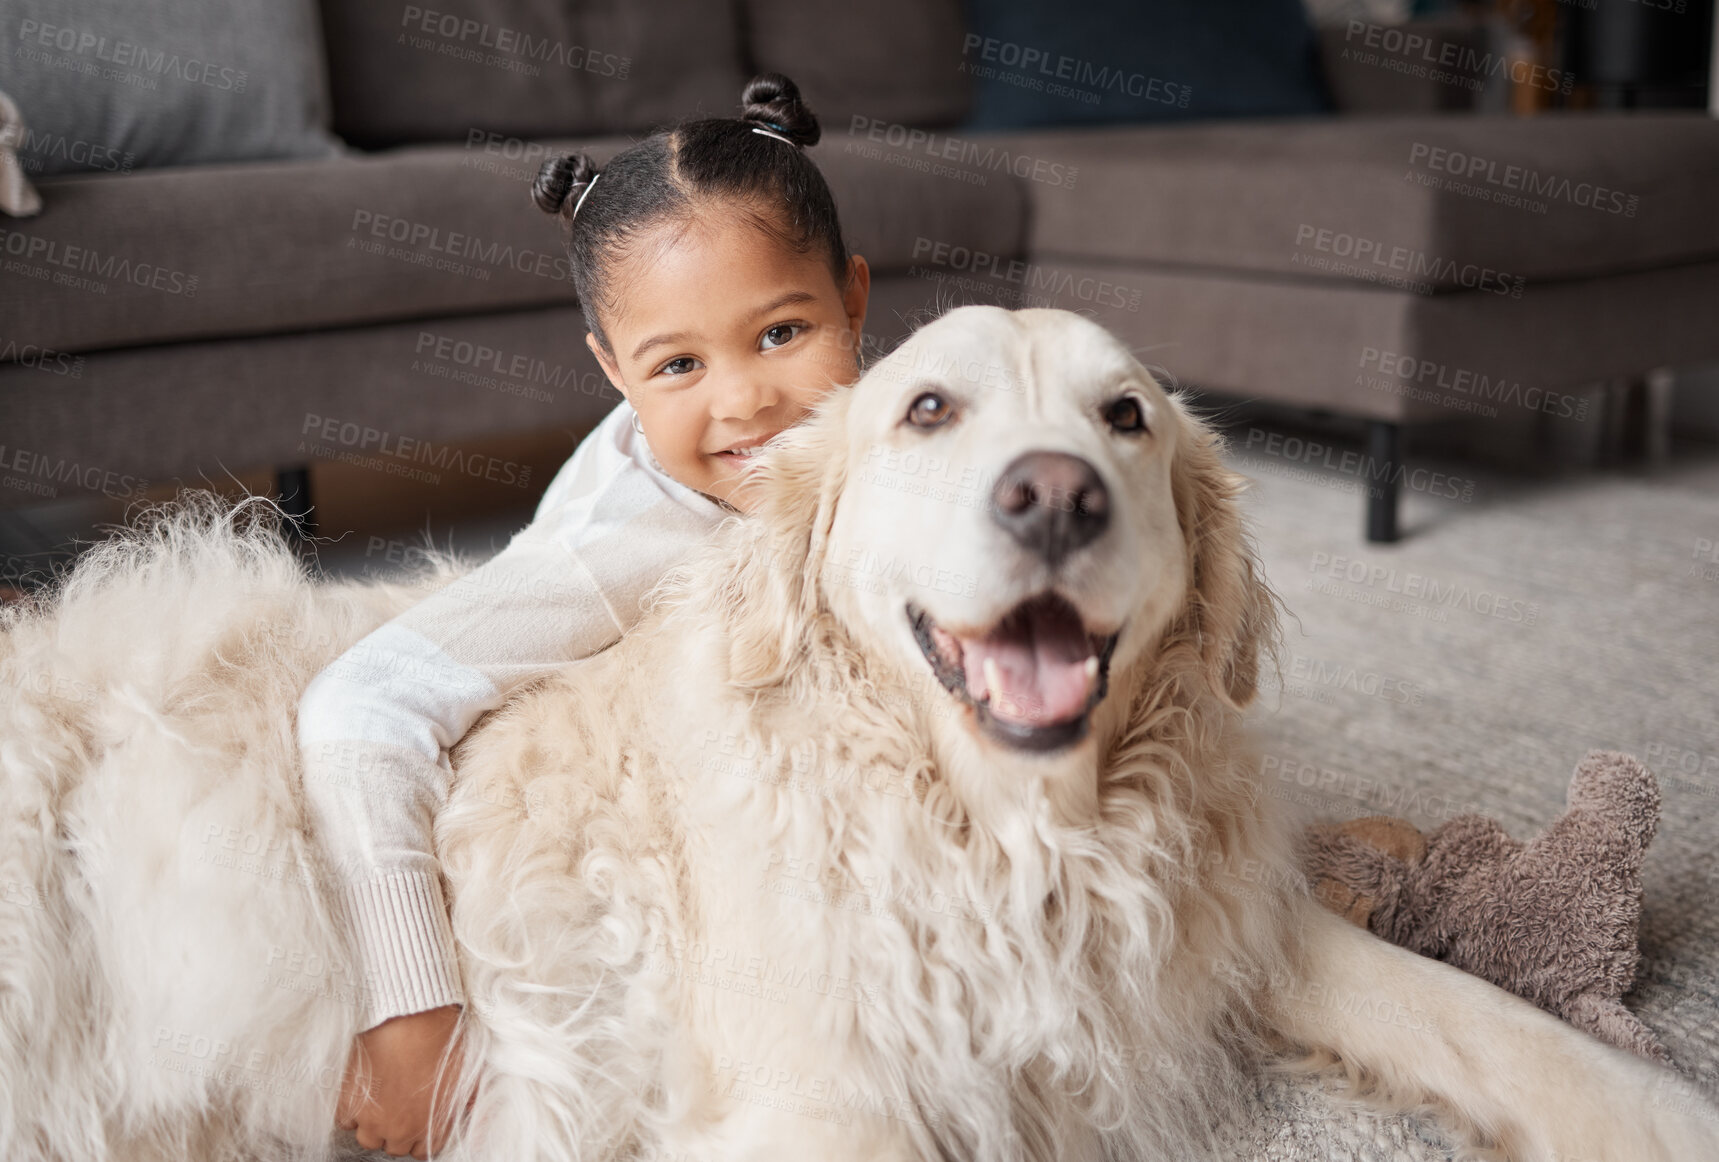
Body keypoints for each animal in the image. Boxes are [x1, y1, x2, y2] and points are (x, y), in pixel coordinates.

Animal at [3, 305, 1719, 1162]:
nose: (1054, 496)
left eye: (1124, 418)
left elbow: (1476, 1012)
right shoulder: (817, 1098)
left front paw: (1649, 1113)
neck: (1007, 831)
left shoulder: (1201, 916)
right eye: (928, 411)